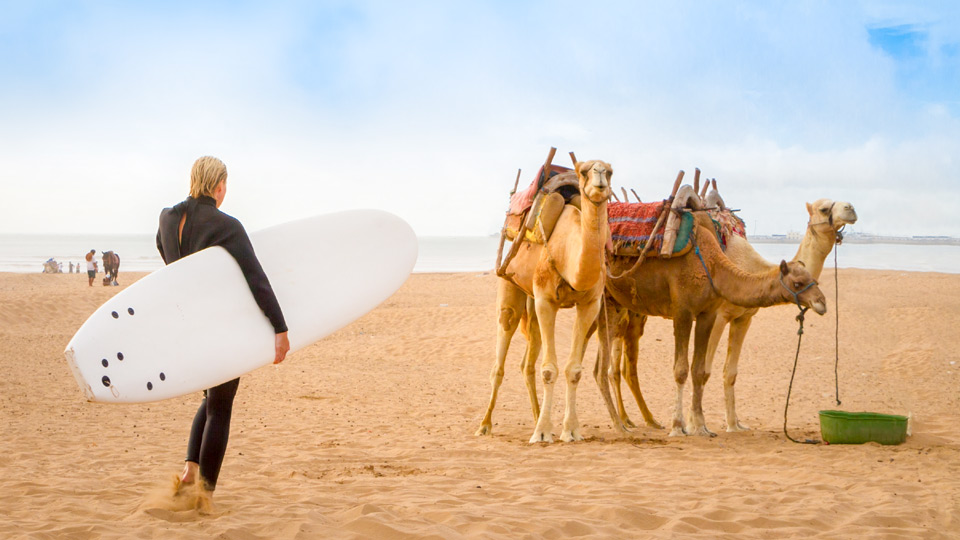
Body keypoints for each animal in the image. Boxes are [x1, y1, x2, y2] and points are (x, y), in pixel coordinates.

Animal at [476, 158, 620, 440]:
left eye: (609, 171)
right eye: (584, 171)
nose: (599, 176)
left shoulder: (590, 304)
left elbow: (573, 370)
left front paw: (570, 431)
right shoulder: (546, 300)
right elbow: (548, 369)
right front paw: (542, 433)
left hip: (532, 305)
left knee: (527, 362)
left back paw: (534, 417)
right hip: (510, 286)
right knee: (501, 357)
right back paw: (485, 425)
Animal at [604, 209, 828, 436]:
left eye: (814, 280)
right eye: (798, 283)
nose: (822, 302)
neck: (713, 266)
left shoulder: (709, 314)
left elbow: (699, 369)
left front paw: (701, 426)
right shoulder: (683, 311)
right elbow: (681, 370)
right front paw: (678, 426)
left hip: (620, 307)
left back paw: (633, 420)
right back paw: (626, 422)